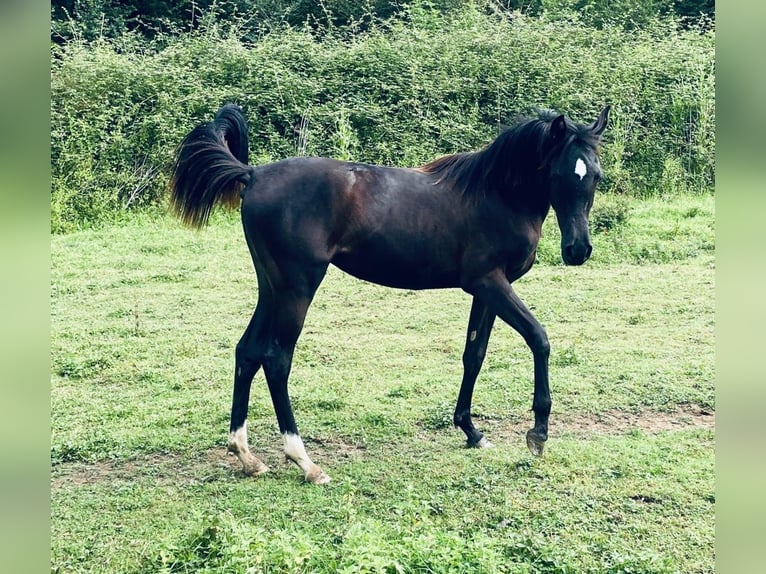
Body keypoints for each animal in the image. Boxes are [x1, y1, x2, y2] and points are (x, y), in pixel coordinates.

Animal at [171, 104, 608, 486]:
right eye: (559, 173)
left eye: (596, 176)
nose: (578, 250)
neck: (495, 194)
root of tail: (253, 173)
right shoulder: (490, 283)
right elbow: (539, 339)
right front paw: (538, 433)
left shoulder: (485, 291)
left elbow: (474, 354)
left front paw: (471, 431)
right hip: (297, 287)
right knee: (277, 359)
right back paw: (305, 462)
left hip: (272, 287)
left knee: (247, 352)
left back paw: (246, 456)